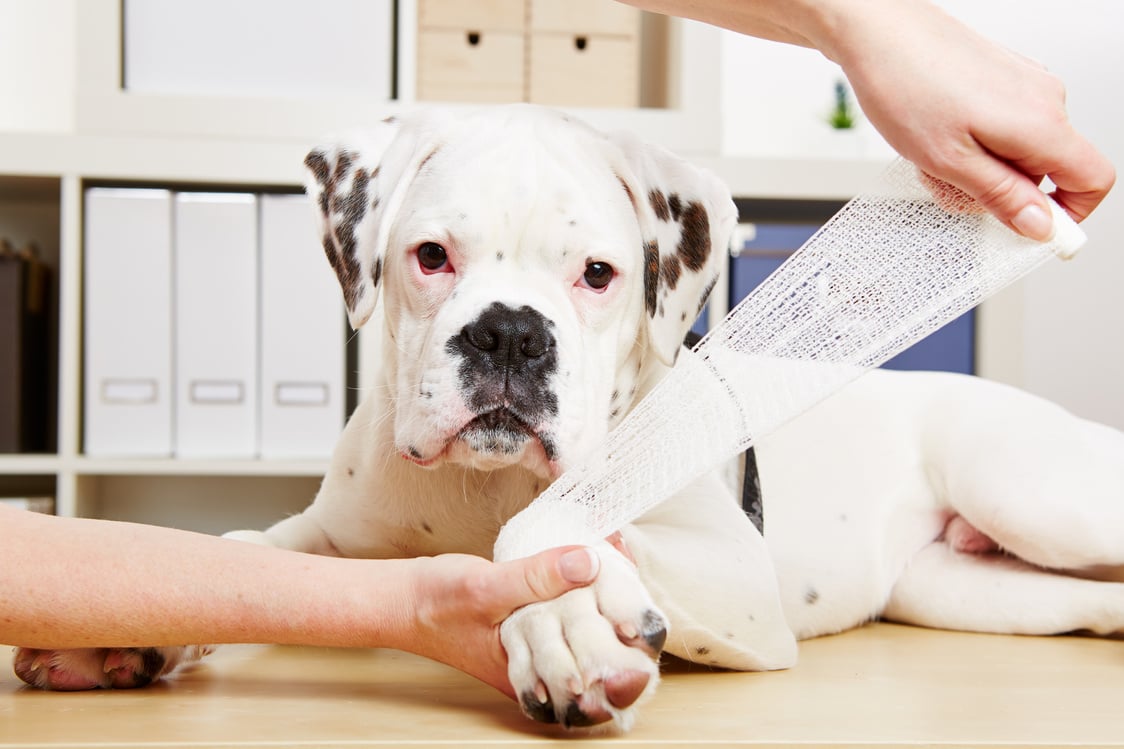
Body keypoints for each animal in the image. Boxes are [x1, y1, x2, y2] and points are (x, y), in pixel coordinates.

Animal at [15, 105, 1124, 728]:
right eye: (430, 256)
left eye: (597, 273)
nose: (509, 333)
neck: (481, 482)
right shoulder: (323, 543)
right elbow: (236, 551)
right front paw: (128, 629)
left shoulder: (743, 585)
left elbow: (540, 535)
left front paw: (561, 628)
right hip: (967, 588)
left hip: (1023, 490)